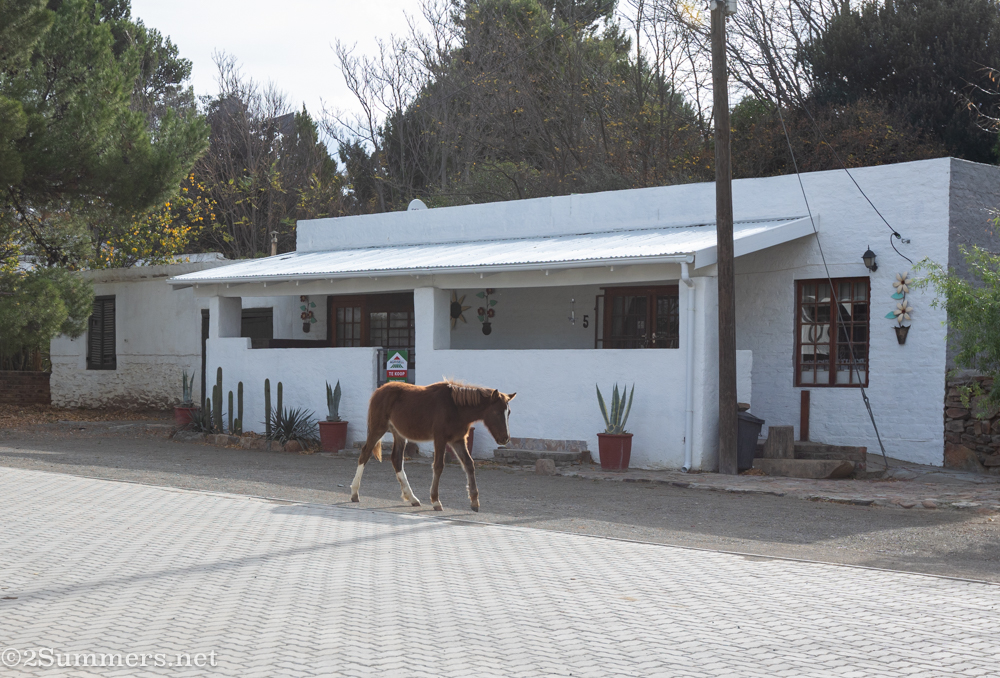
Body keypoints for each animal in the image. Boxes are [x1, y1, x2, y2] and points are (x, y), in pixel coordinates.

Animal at [350, 380, 516, 512]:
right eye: (496, 412)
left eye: (509, 412)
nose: (505, 438)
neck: (456, 407)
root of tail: (379, 390)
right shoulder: (440, 438)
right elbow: (438, 466)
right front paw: (436, 501)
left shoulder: (458, 440)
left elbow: (469, 464)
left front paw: (474, 502)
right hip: (378, 428)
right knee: (365, 453)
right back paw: (355, 493)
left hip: (399, 433)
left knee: (396, 459)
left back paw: (412, 498)